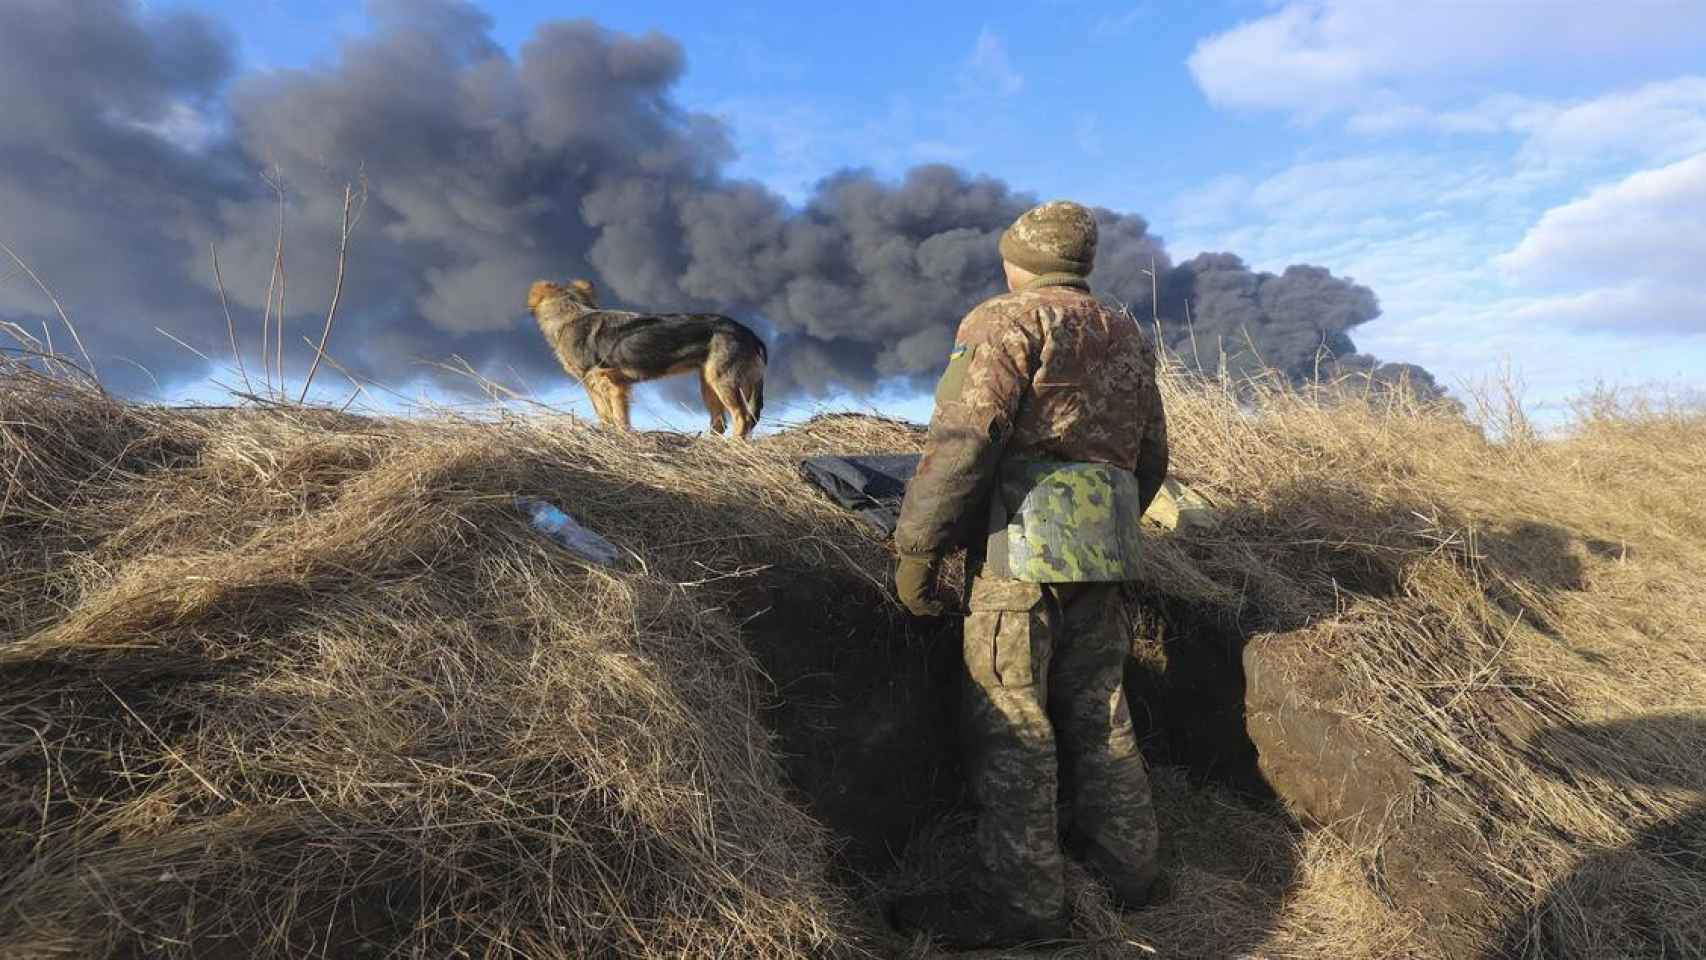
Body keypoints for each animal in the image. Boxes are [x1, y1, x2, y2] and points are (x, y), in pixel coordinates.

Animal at [528, 279, 771, 439]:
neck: (571, 314)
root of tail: (750, 334)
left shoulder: (611, 383)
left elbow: (618, 418)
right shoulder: (595, 386)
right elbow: (605, 416)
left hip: (724, 381)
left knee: (742, 417)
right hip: (709, 383)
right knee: (719, 423)